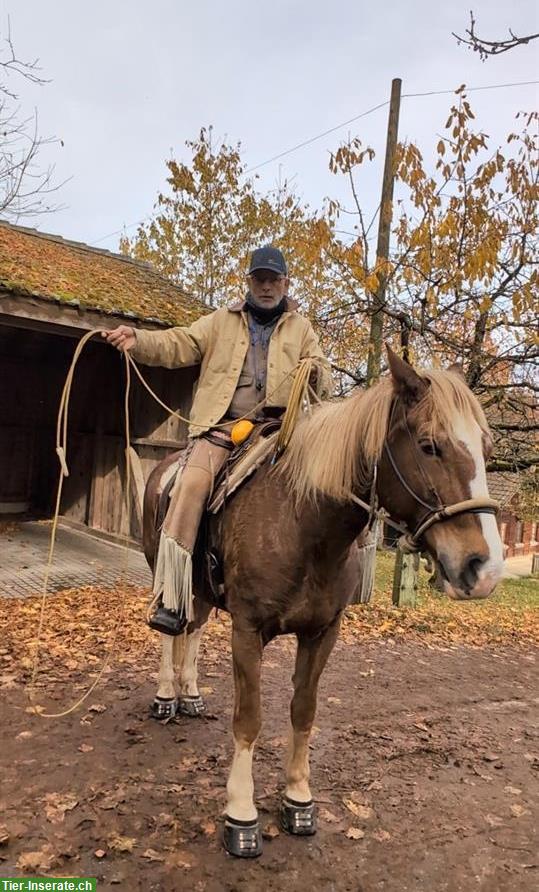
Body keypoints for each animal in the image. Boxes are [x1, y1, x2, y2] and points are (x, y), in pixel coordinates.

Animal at [142, 348, 503, 857]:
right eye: (429, 445)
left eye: (487, 451)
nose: (483, 567)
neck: (303, 523)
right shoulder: (247, 630)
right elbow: (249, 719)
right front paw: (241, 814)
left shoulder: (322, 632)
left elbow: (304, 711)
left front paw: (297, 797)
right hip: (164, 571)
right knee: (169, 631)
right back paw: (165, 696)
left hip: (201, 591)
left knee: (192, 630)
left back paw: (189, 693)